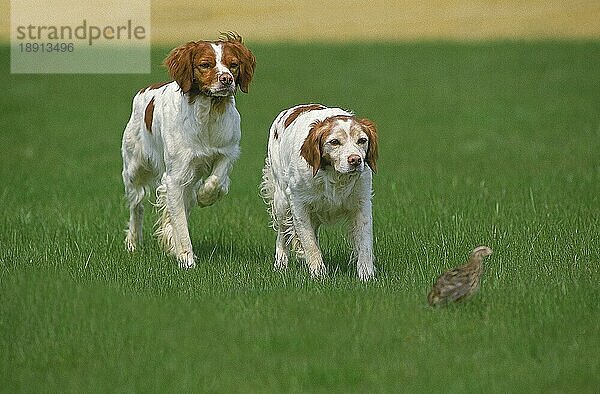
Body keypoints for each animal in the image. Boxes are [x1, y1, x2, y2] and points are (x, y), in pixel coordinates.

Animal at [120, 33, 254, 268]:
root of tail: (143, 91)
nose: (227, 79)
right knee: (137, 207)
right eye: (205, 64)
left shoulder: (228, 152)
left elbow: (217, 180)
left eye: (234, 64)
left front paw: (206, 195)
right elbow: (180, 223)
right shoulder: (175, 178)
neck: (208, 114)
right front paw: (186, 259)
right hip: (133, 172)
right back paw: (133, 244)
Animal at [258, 104, 378, 280]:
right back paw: (280, 263)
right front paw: (318, 273)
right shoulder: (298, 204)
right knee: (282, 233)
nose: (355, 160)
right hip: (282, 202)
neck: (333, 175)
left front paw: (367, 275)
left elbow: (365, 243)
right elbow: (309, 243)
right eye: (334, 142)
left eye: (362, 140)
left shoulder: (361, 203)